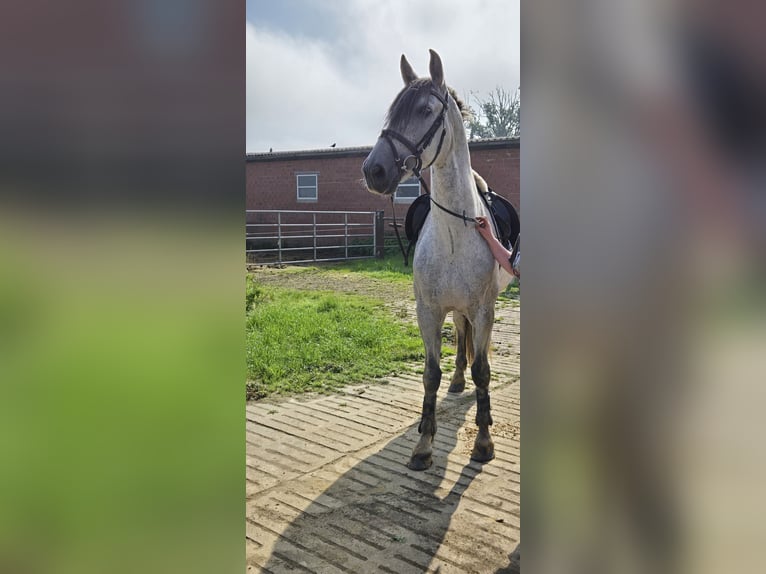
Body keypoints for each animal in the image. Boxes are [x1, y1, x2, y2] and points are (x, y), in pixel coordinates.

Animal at [362, 50, 514, 470]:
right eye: (392, 112)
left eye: (426, 110)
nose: (374, 170)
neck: (454, 233)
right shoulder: (427, 311)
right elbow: (430, 373)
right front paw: (423, 444)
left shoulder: (483, 309)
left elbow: (484, 371)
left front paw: (483, 442)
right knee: (460, 335)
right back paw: (458, 381)